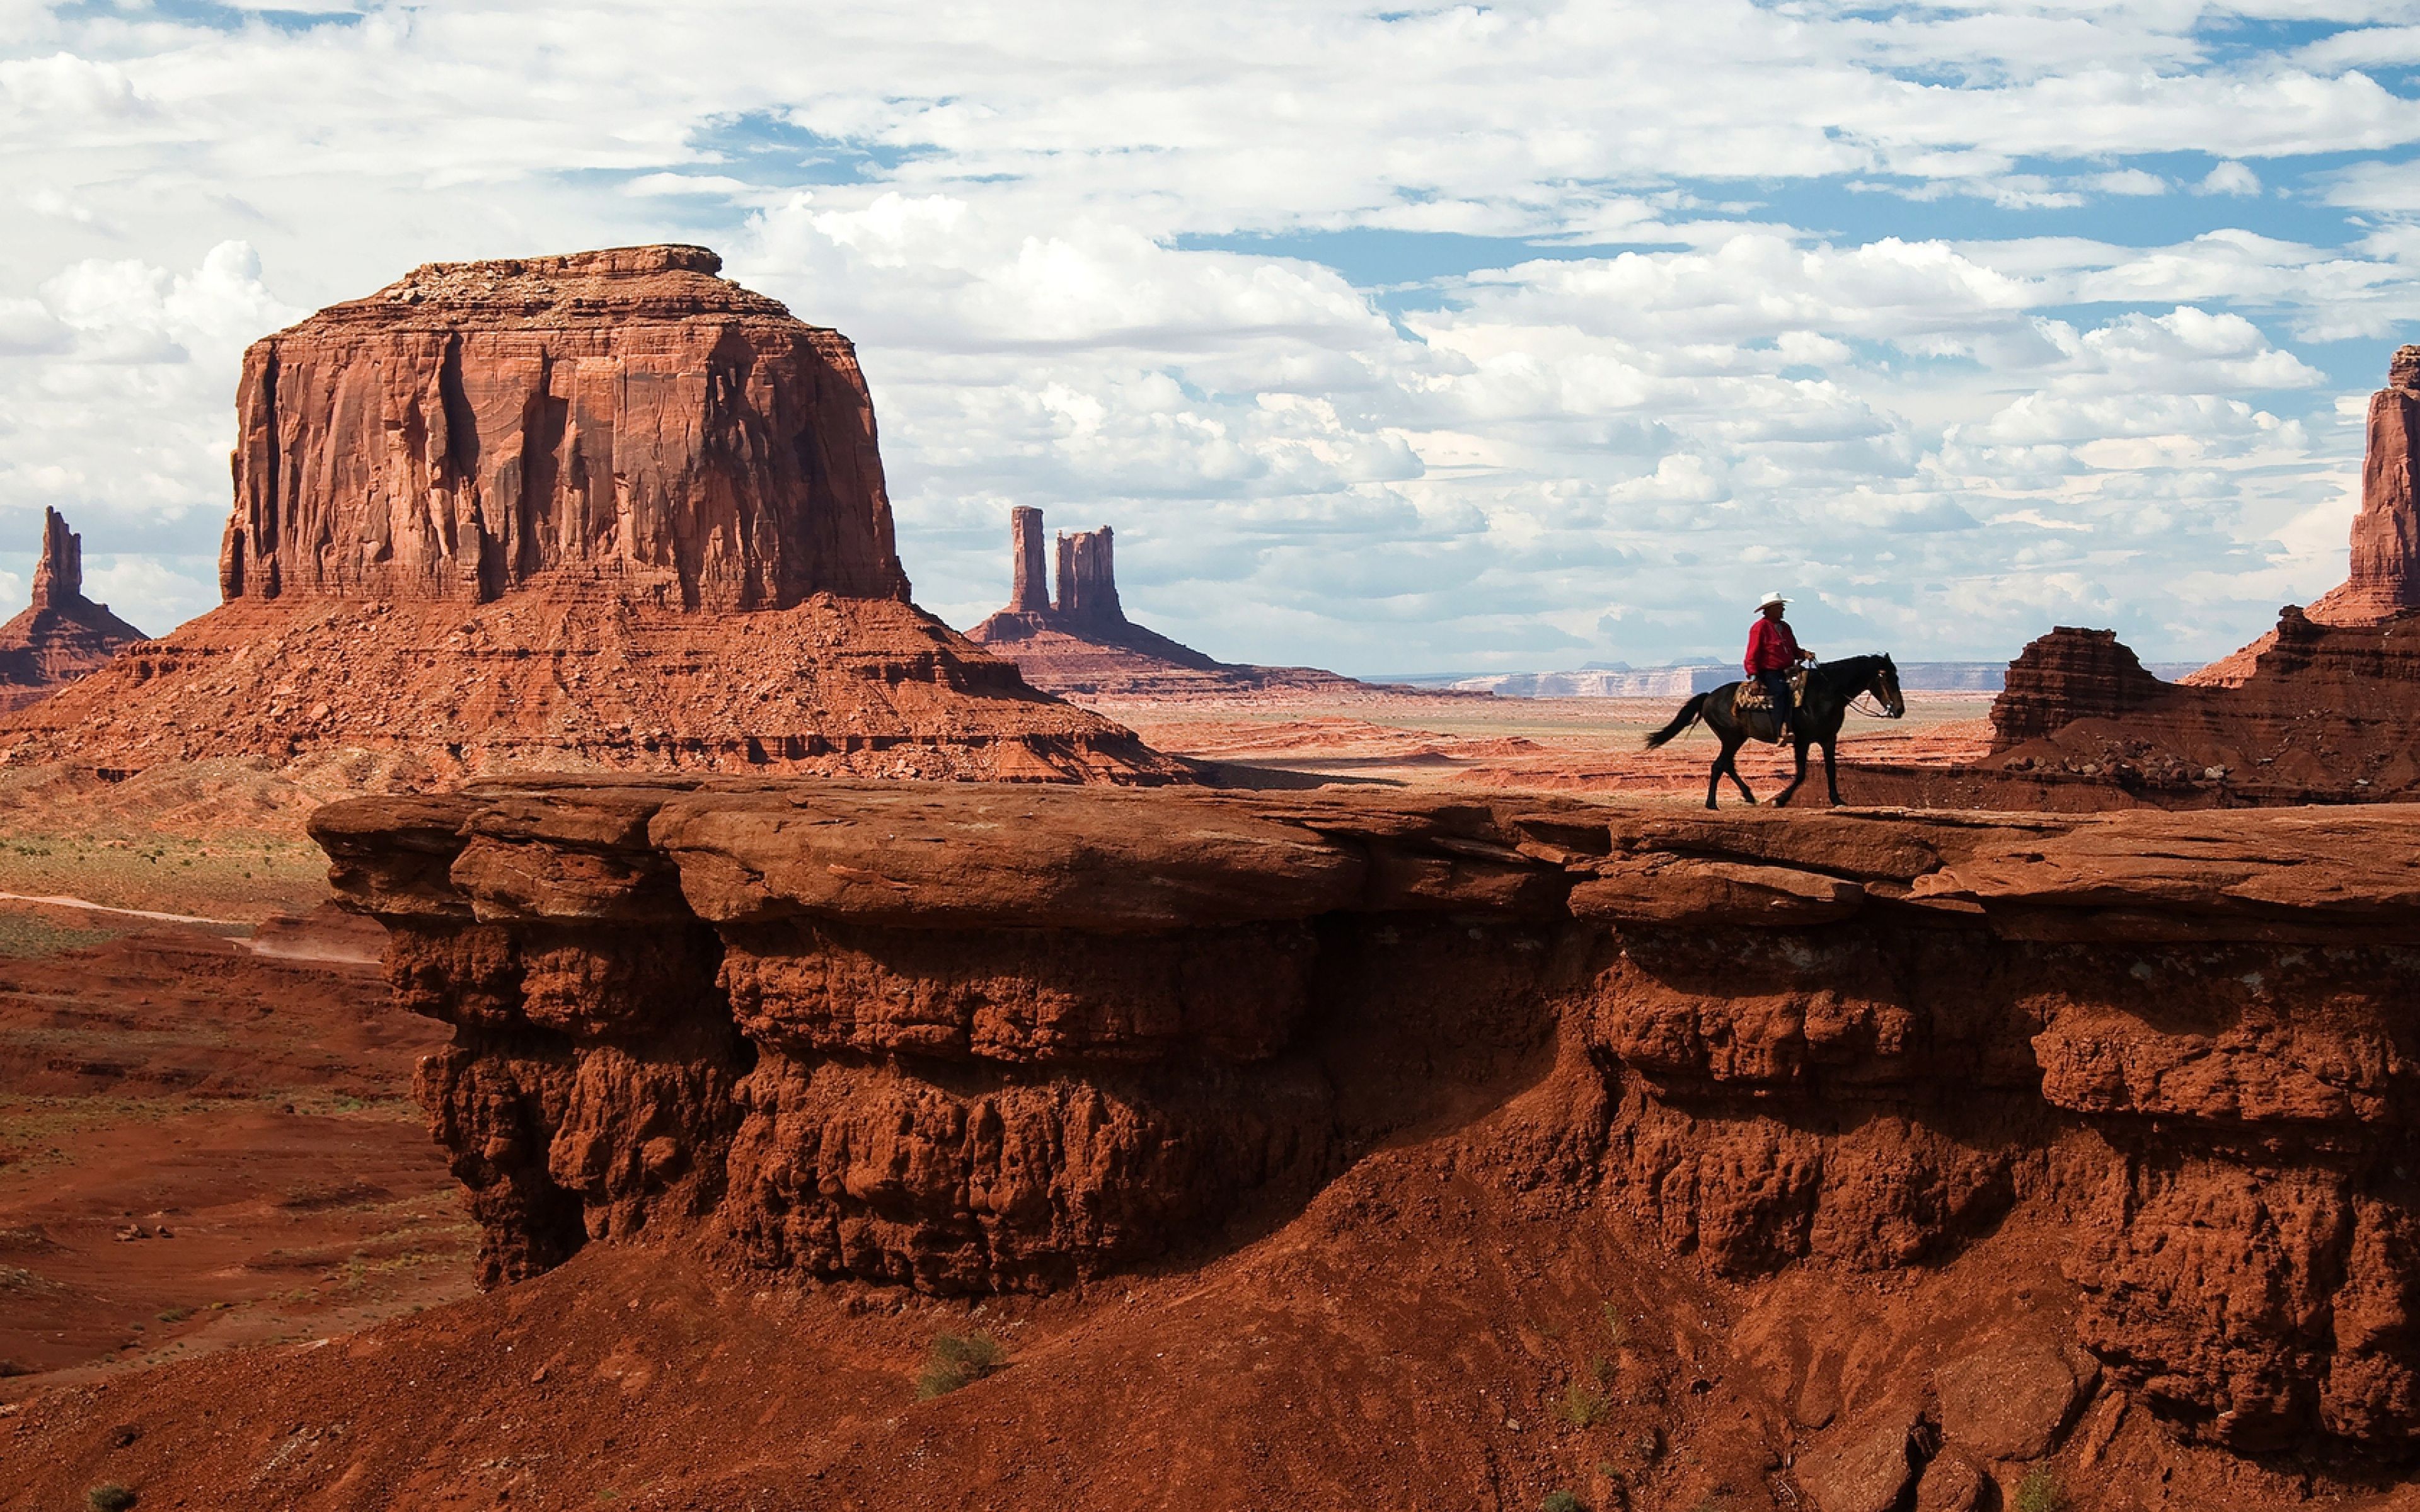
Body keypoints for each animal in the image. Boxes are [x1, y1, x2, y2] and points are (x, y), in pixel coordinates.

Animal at [1645, 653, 1906, 808]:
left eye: (1898, 676)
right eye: (1886, 677)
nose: (1900, 710)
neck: (1826, 693)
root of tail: (1709, 696)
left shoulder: (1828, 739)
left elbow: (1831, 770)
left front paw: (1837, 799)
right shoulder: (1802, 740)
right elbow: (1801, 774)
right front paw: (1780, 800)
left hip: (1736, 739)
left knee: (1727, 764)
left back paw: (1749, 796)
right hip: (1731, 738)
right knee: (1719, 765)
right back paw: (1712, 803)